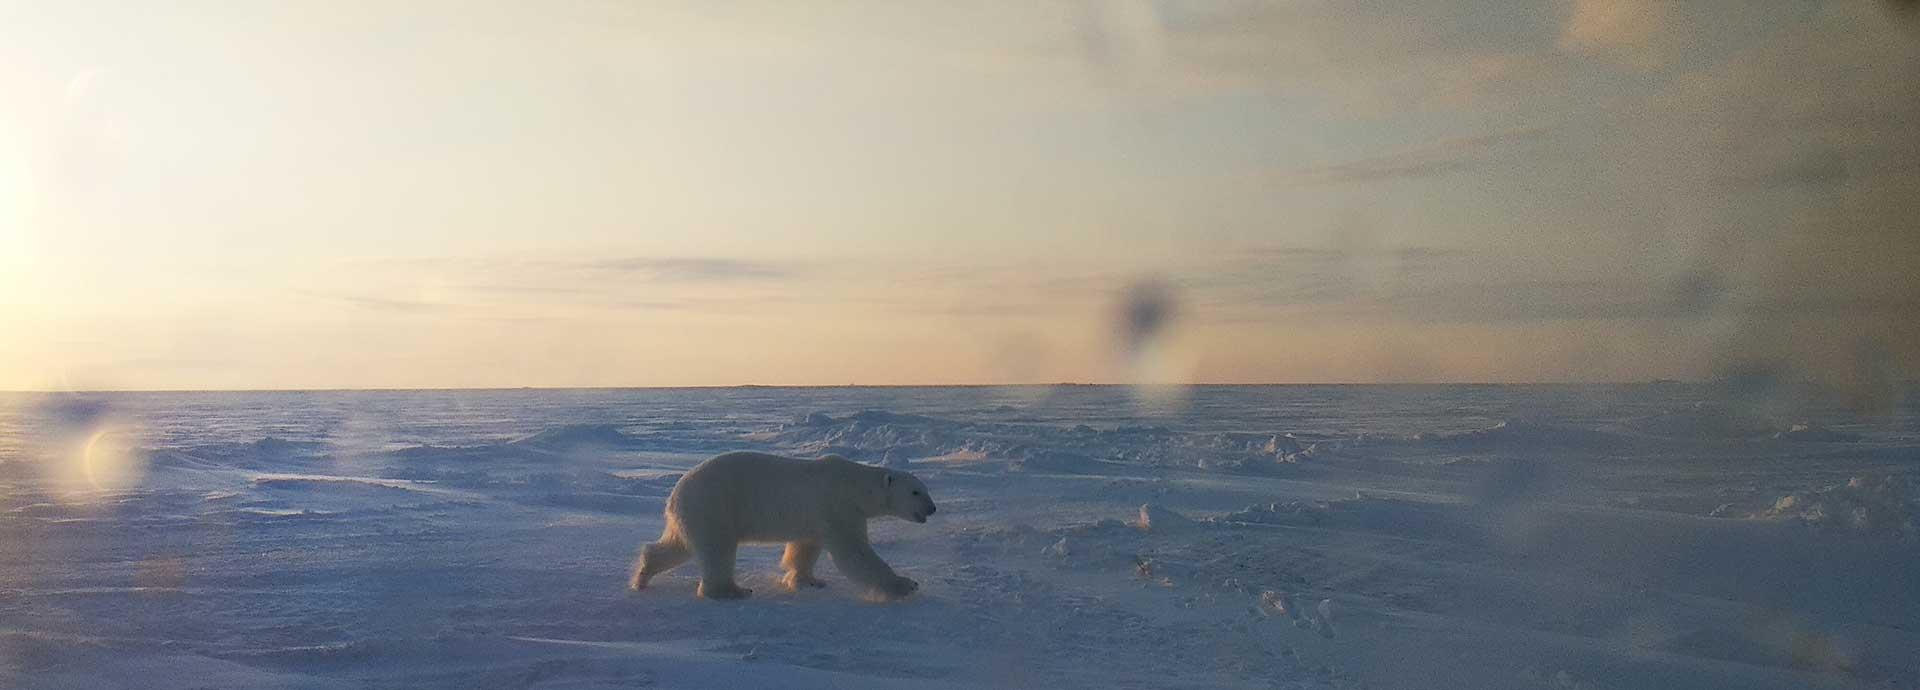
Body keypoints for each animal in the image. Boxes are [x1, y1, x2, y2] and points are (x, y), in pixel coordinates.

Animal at [628, 451, 936, 601]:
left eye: (925, 488)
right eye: (916, 492)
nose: (932, 508)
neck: (853, 485)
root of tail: (675, 494)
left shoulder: (817, 517)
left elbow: (804, 548)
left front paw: (807, 580)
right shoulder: (838, 508)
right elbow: (855, 554)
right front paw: (904, 585)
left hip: (694, 514)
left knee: (676, 545)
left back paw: (642, 576)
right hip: (715, 506)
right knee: (718, 550)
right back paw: (732, 591)